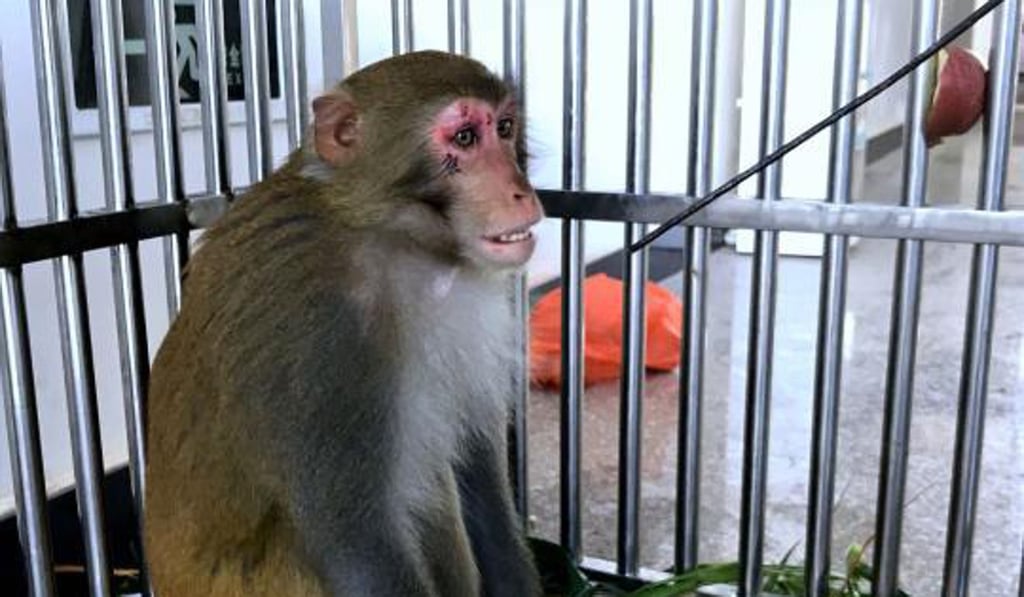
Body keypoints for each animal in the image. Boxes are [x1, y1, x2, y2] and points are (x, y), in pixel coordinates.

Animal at [143, 51, 544, 597]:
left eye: (504, 128)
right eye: (464, 137)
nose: (521, 191)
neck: (398, 241)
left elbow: (477, 473)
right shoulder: (314, 329)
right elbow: (355, 539)